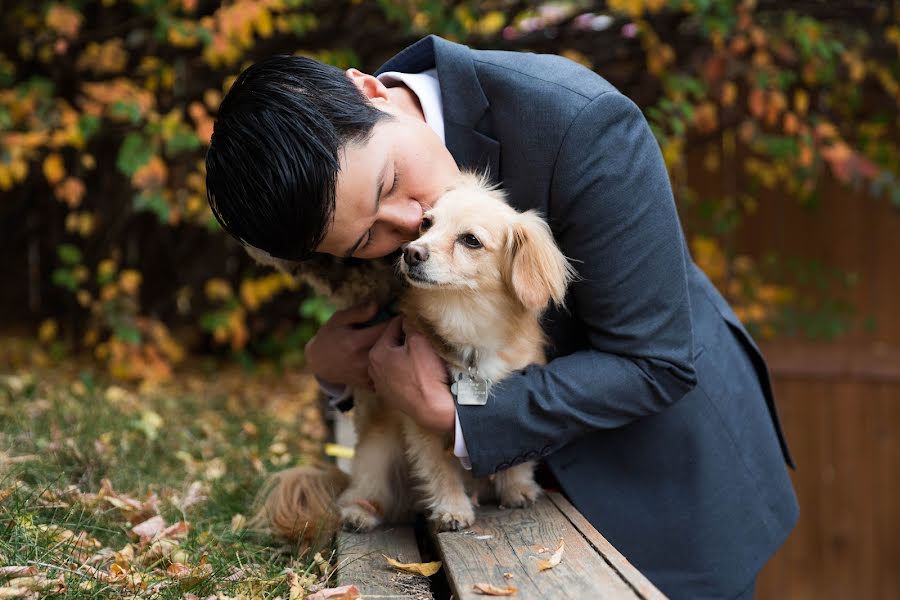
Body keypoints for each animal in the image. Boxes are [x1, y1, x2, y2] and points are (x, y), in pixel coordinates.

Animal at [250, 173, 572, 540]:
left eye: (471, 241)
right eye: (425, 224)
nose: (411, 252)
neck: (467, 319)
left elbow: (515, 448)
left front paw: (517, 488)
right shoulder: (422, 418)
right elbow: (441, 468)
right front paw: (452, 509)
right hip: (379, 452)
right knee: (368, 492)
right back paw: (360, 512)